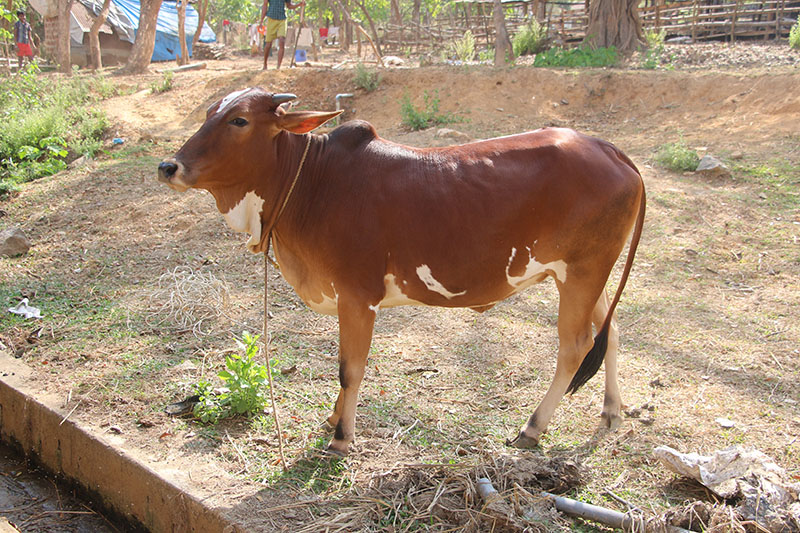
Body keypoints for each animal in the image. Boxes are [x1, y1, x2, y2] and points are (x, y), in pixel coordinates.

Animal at [159, 89, 648, 456]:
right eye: (209, 114)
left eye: (239, 120)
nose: (168, 166)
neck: (311, 182)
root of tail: (609, 148)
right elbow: (344, 368)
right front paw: (333, 418)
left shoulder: (358, 297)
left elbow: (350, 368)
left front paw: (342, 437)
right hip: (590, 274)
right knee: (611, 330)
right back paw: (611, 410)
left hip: (582, 271)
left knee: (575, 347)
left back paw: (532, 427)